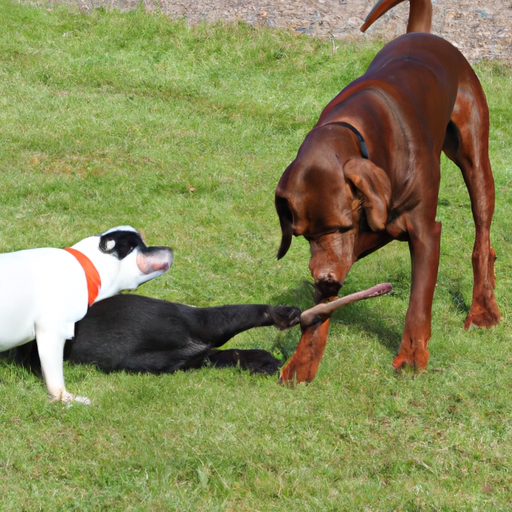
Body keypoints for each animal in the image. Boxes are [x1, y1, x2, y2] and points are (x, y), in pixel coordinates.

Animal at [0, 226, 174, 402]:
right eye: (139, 246)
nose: (170, 249)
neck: (88, 270)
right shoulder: (52, 331)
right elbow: (55, 378)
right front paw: (67, 399)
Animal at [276, 0, 500, 384]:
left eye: (342, 225)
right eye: (303, 235)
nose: (324, 280)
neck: (360, 134)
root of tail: (421, 33)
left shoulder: (424, 233)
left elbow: (418, 303)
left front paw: (411, 357)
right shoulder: (349, 246)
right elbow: (321, 310)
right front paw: (302, 361)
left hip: (474, 157)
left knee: (481, 234)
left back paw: (482, 307)